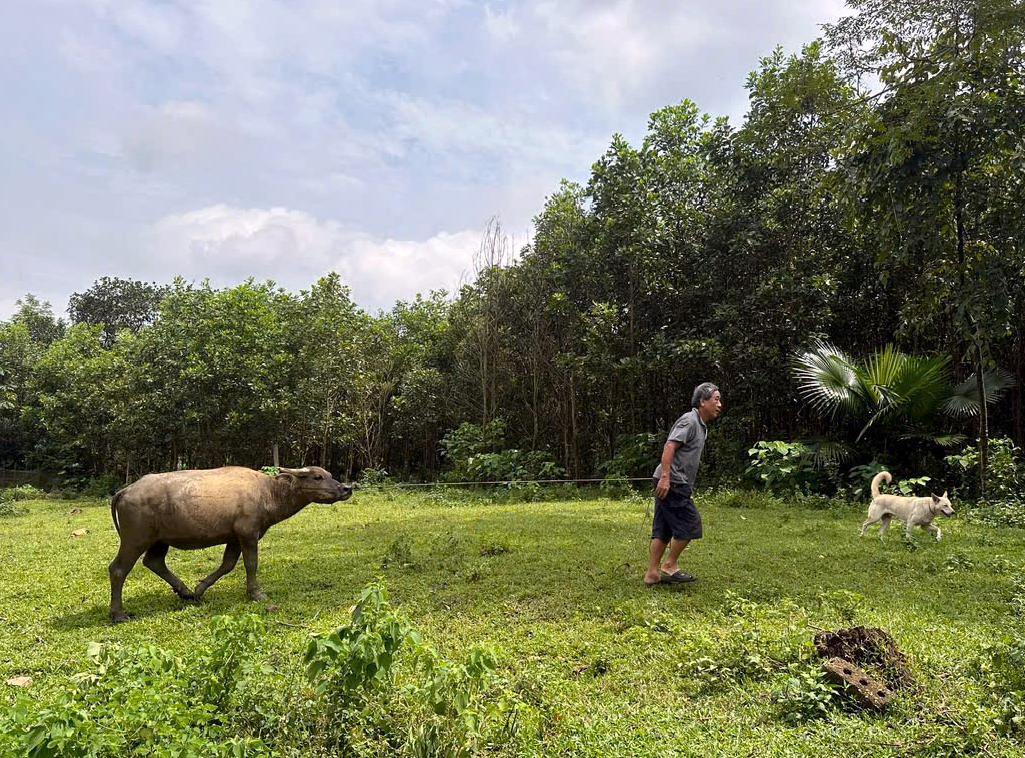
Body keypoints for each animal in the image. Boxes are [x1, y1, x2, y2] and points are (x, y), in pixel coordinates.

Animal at [106, 467, 350, 622]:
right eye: (317, 477)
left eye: (329, 474)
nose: (346, 488)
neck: (267, 492)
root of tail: (125, 491)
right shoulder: (248, 534)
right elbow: (251, 564)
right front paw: (256, 593)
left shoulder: (234, 538)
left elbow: (228, 565)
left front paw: (200, 589)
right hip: (135, 539)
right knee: (118, 569)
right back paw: (118, 614)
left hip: (159, 540)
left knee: (154, 562)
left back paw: (185, 592)